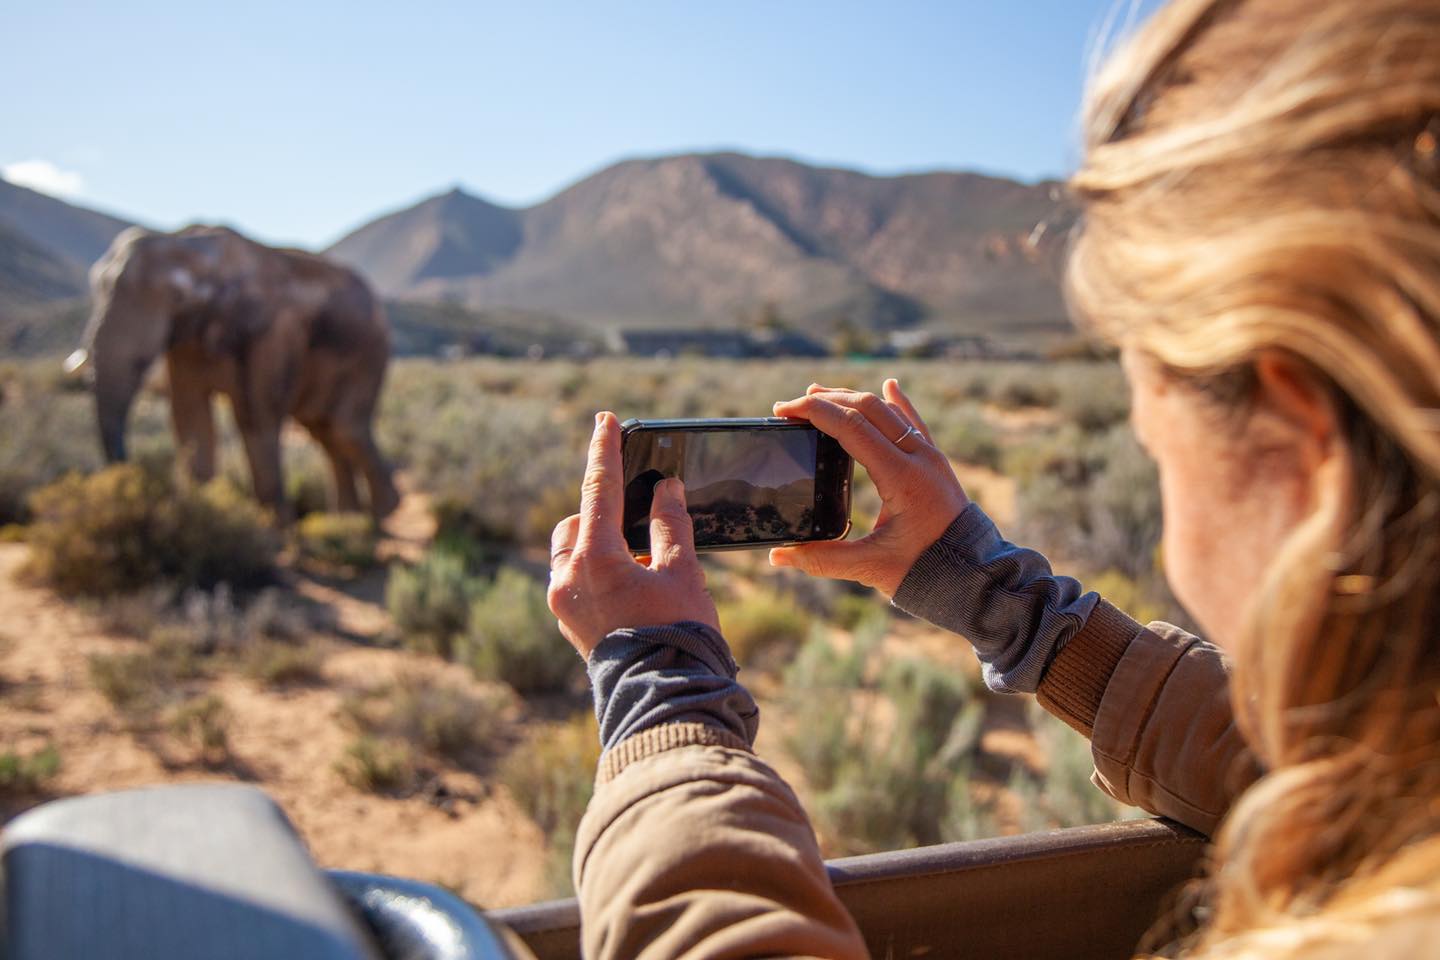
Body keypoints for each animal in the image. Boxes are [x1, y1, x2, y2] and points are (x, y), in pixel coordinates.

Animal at [66, 223, 400, 526]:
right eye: (97, 288)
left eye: (178, 298)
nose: (126, 477)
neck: (197, 246)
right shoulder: (186, 343)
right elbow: (190, 416)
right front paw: (205, 512)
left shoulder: (273, 332)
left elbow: (255, 416)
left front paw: (274, 527)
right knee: (324, 431)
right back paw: (348, 519)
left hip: (370, 352)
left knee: (345, 427)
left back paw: (384, 512)